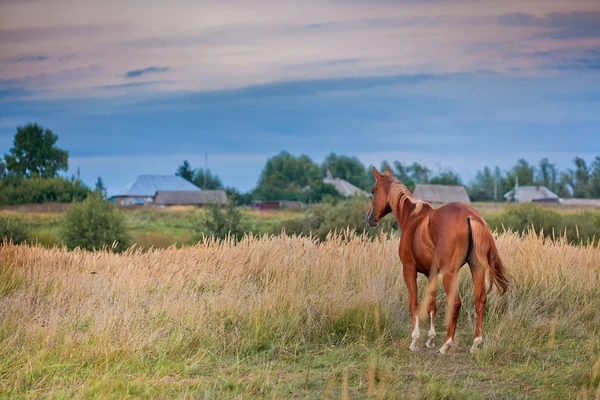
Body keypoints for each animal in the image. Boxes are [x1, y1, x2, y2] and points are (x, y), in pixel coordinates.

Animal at [364, 165, 508, 354]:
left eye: (373, 190)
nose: (369, 218)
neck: (412, 218)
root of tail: (470, 216)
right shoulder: (431, 274)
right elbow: (432, 305)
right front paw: (430, 339)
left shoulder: (409, 270)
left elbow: (414, 304)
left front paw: (415, 341)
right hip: (476, 268)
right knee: (480, 300)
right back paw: (476, 343)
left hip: (449, 273)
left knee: (456, 302)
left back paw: (446, 344)